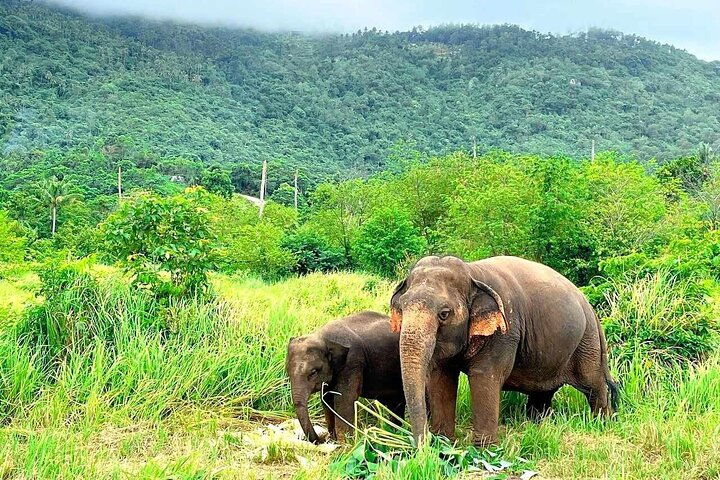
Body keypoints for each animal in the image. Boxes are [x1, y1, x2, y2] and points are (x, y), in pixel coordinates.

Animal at [286, 312, 404, 442]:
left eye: (313, 372)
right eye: (287, 372)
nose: (321, 439)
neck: (322, 337)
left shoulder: (352, 362)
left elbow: (344, 401)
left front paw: (346, 444)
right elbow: (327, 399)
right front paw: (334, 439)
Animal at [390, 255, 616, 446]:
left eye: (444, 314)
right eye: (401, 308)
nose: (422, 447)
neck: (472, 272)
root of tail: (590, 307)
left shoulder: (505, 332)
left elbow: (484, 376)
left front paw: (483, 450)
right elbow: (442, 378)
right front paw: (445, 445)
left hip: (587, 342)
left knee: (593, 383)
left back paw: (602, 423)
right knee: (543, 392)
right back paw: (536, 425)